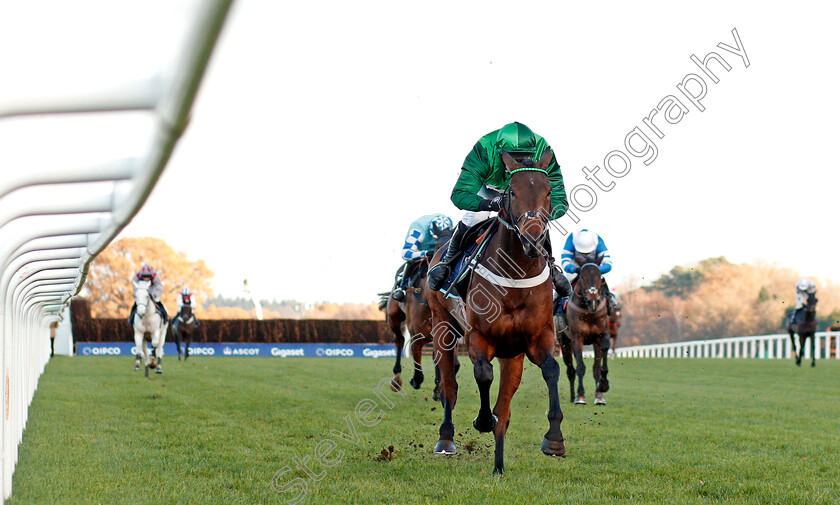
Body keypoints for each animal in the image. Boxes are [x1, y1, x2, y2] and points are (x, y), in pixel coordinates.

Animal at [426, 149, 564, 472]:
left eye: (548, 191)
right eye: (512, 192)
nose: (533, 240)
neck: (515, 273)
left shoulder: (537, 338)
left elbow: (551, 369)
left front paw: (554, 439)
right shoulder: (479, 336)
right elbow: (483, 374)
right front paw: (482, 419)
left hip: (511, 353)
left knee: (506, 406)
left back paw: (498, 467)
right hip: (442, 327)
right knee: (449, 385)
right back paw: (446, 439)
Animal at [556, 262, 612, 404]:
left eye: (599, 277)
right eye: (582, 277)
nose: (593, 301)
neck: (589, 313)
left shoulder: (600, 336)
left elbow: (597, 367)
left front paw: (601, 392)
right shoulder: (577, 337)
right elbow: (580, 367)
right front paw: (580, 396)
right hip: (564, 342)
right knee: (571, 370)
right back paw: (572, 397)